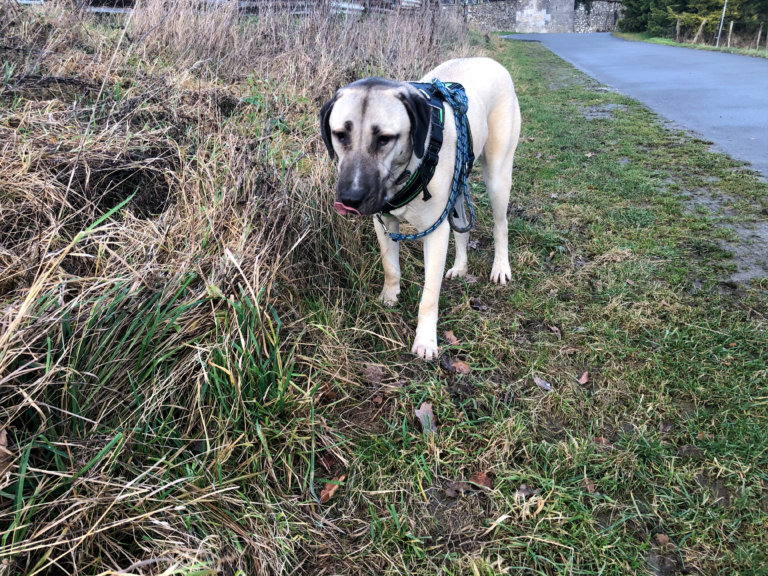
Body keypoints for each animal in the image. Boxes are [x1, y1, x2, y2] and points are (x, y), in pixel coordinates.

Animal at [320, 57, 521, 359]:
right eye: (340, 135)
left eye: (384, 138)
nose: (350, 199)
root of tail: (490, 60)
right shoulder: (384, 224)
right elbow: (390, 266)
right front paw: (389, 297)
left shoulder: (434, 234)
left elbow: (429, 296)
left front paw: (426, 340)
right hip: (457, 186)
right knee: (461, 228)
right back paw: (460, 267)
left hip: (498, 175)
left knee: (501, 225)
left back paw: (500, 267)